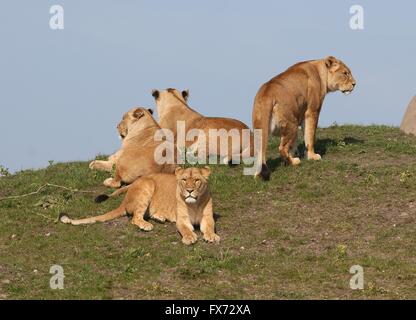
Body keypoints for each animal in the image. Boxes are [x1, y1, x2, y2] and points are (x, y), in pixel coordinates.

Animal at [60, 165, 221, 245]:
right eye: (184, 180)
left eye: (197, 180)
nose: (189, 191)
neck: (194, 204)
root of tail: (125, 199)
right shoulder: (182, 220)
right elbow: (185, 229)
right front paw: (189, 237)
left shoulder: (207, 218)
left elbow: (210, 227)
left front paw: (212, 236)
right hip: (147, 185)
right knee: (134, 218)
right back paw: (147, 225)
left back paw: (159, 218)